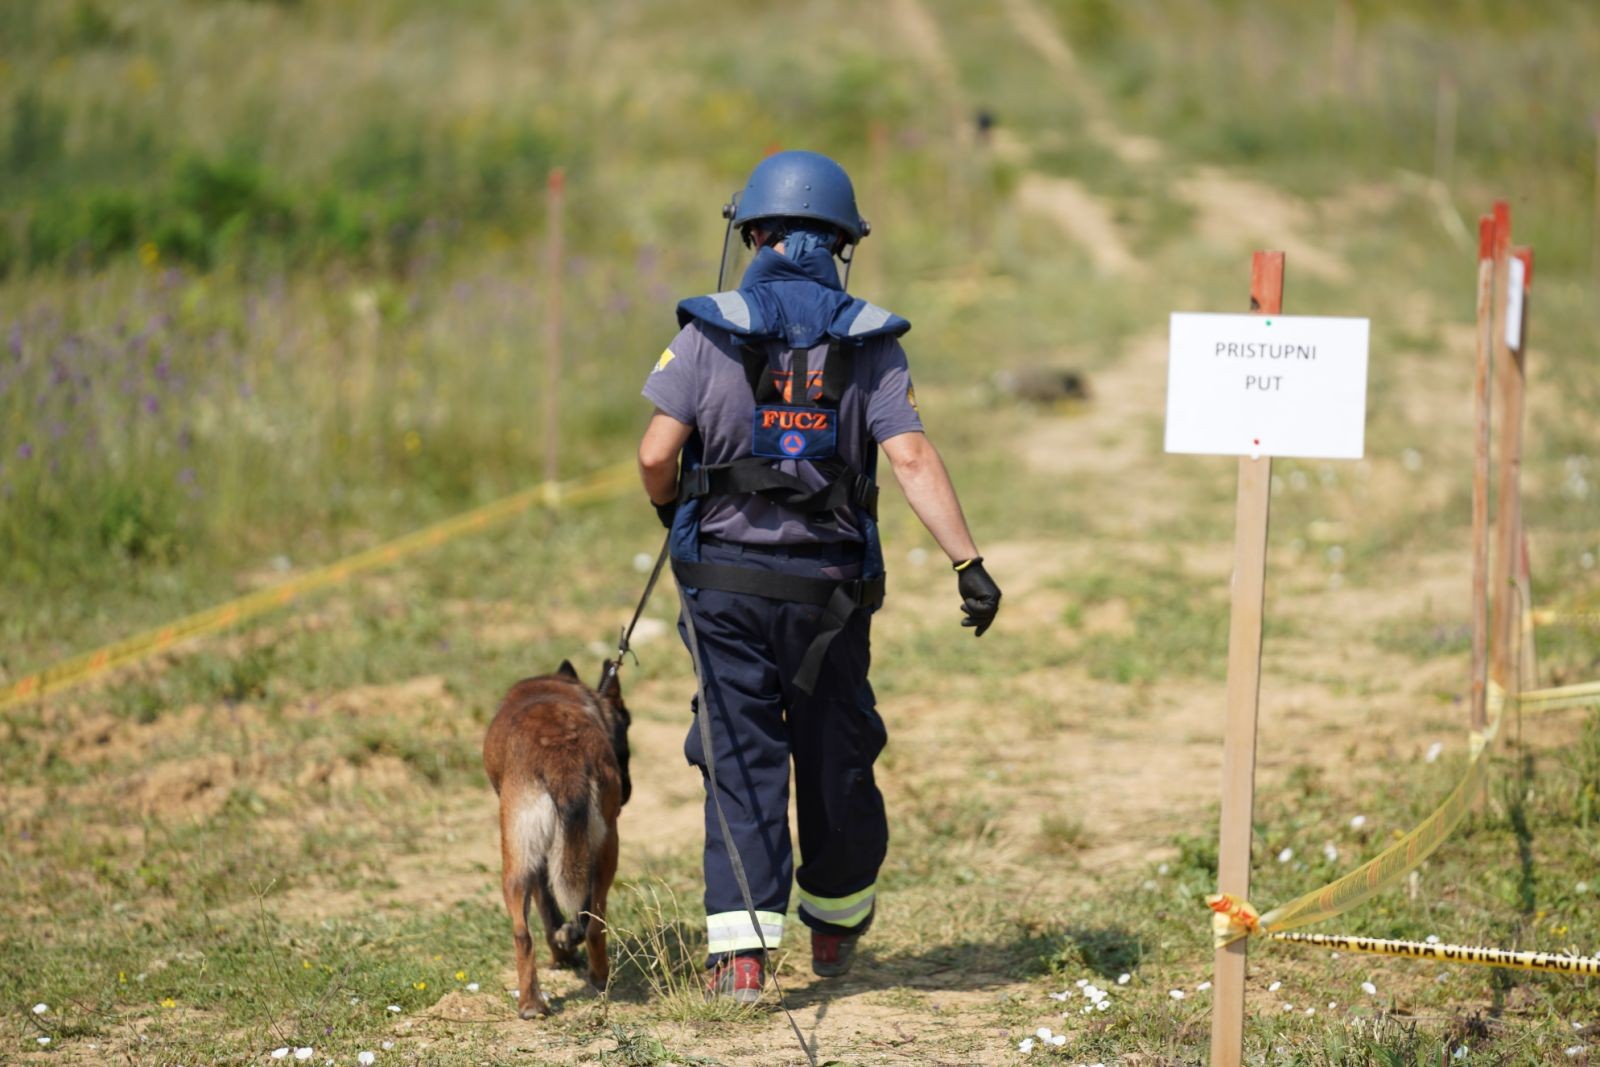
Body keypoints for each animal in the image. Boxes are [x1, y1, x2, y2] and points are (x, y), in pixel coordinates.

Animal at [480, 659, 630, 1017]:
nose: (628, 793)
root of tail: (562, 755)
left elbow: (550, 912)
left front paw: (563, 951)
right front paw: (567, 942)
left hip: (527, 860)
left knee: (542, 931)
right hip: (590, 852)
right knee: (575, 926)